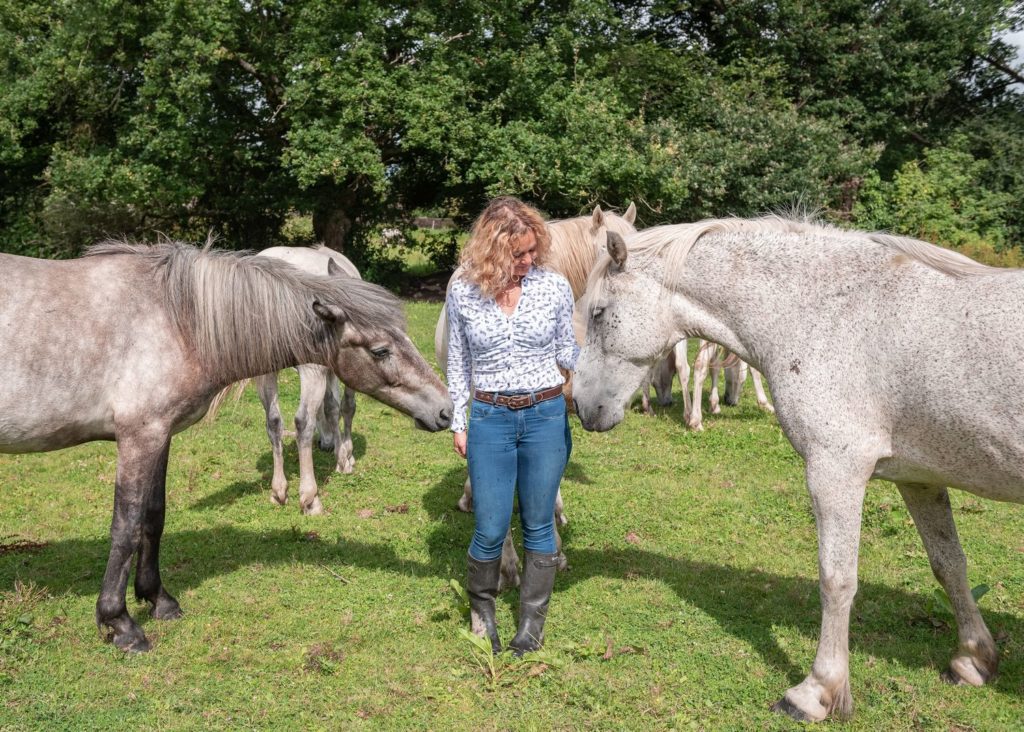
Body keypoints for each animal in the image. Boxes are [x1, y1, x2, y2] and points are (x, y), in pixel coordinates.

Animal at [0, 241, 452, 651]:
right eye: (381, 350)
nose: (446, 411)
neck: (177, 320)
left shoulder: (160, 435)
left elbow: (153, 516)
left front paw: (158, 599)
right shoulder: (139, 436)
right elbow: (125, 527)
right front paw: (120, 623)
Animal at [577, 218, 1024, 720]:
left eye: (598, 313)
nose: (582, 407)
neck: (831, 311)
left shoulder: (836, 470)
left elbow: (836, 580)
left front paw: (817, 690)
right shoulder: (919, 479)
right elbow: (949, 565)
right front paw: (974, 659)